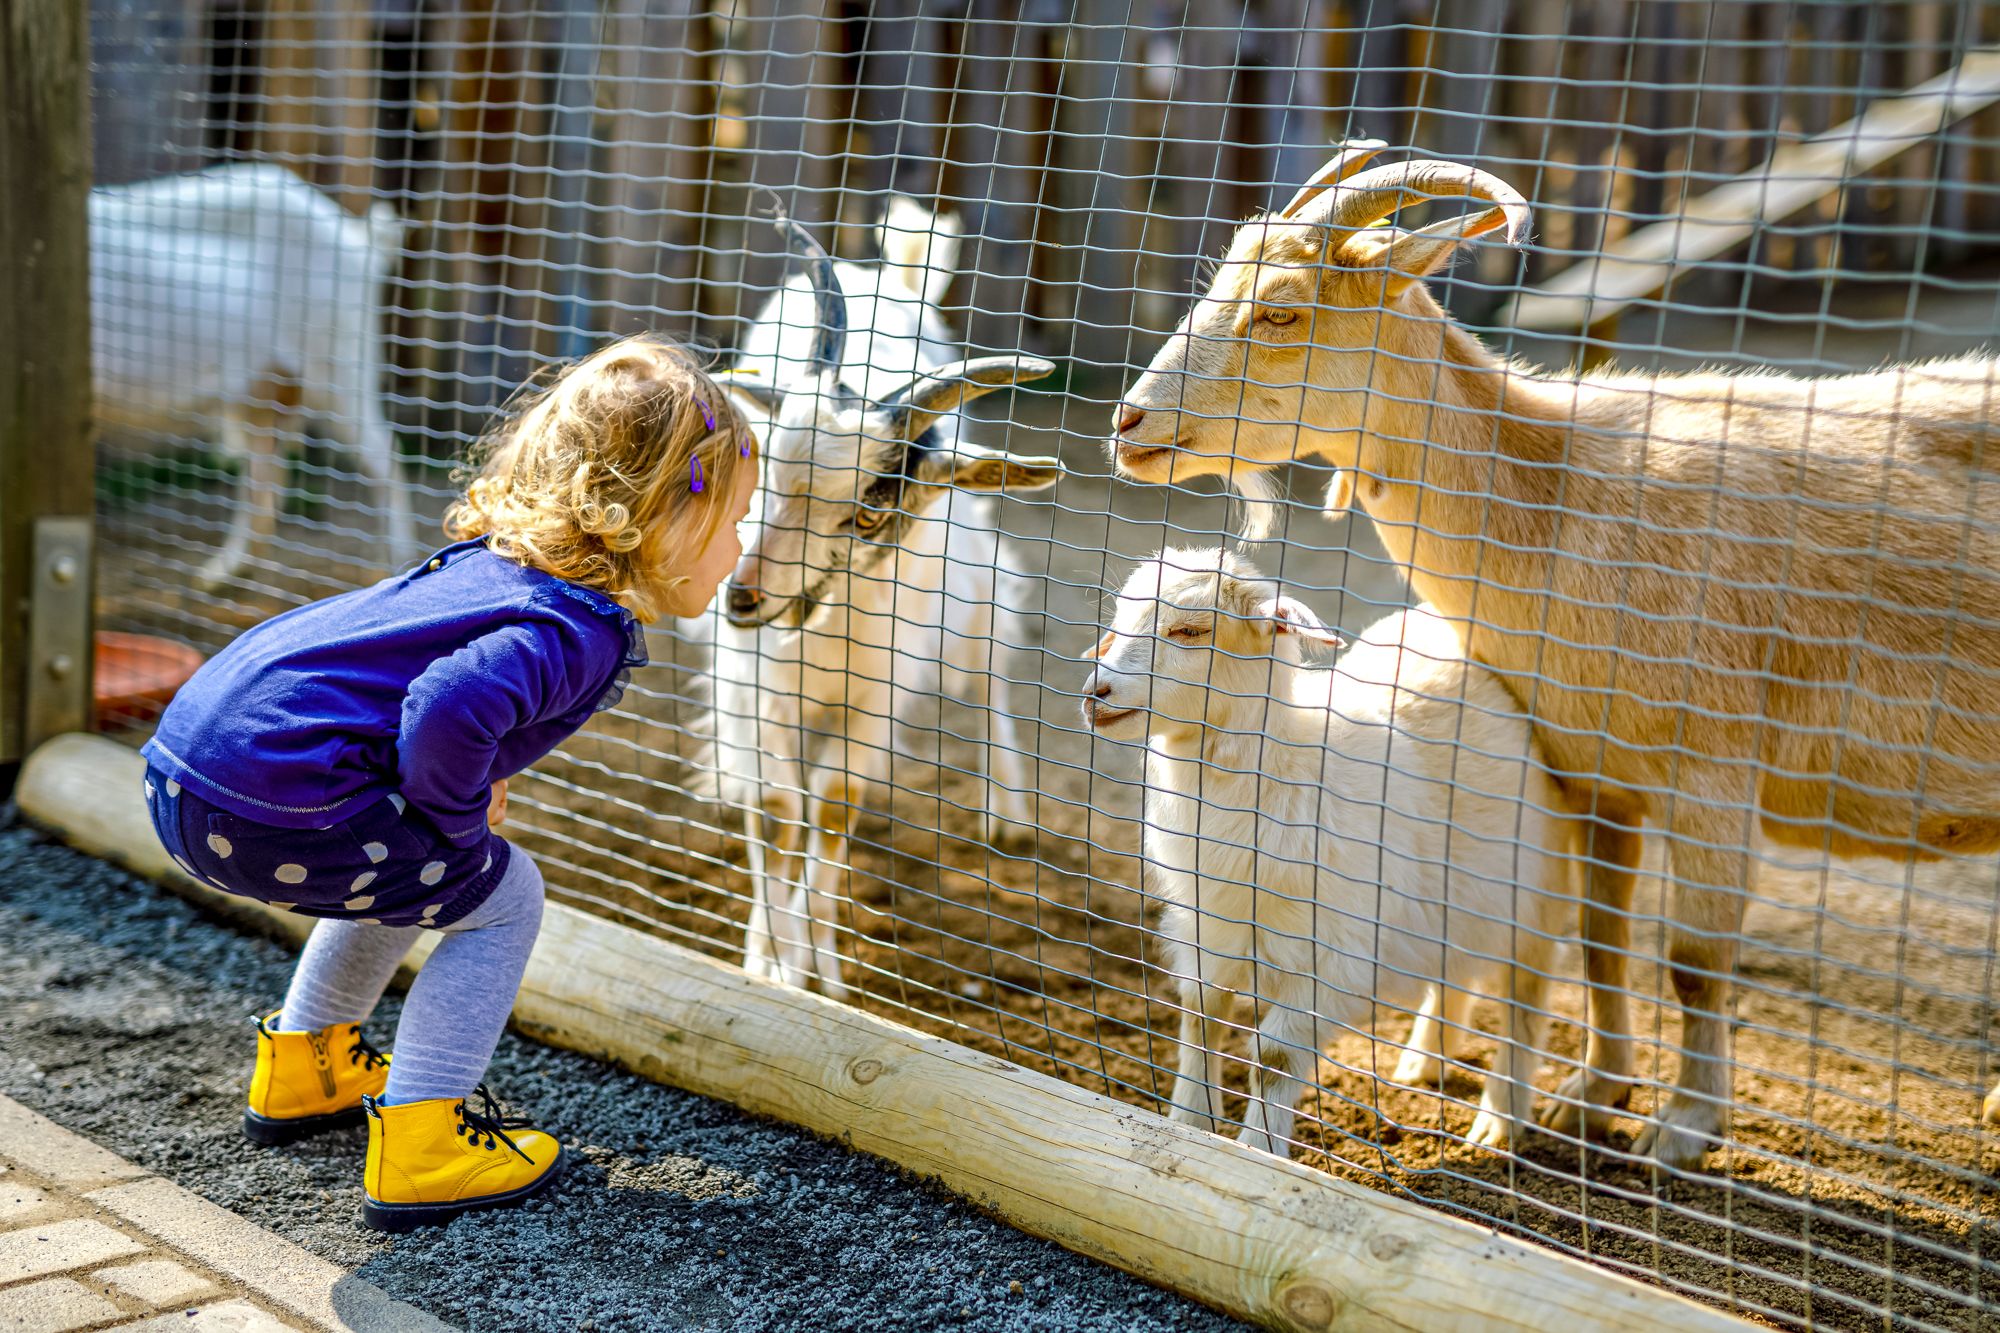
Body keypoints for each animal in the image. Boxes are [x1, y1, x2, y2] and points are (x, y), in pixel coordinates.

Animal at [92, 162, 408, 588]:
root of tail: (357, 241)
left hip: (338, 366)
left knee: (386, 459)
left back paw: (400, 566)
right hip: (261, 392)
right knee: (265, 481)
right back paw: (218, 575)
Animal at [716, 202, 1064, 996]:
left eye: (869, 512)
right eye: (765, 471)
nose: (743, 597)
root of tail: (889, 275)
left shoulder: (874, 698)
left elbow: (831, 810)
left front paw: (818, 971)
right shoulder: (755, 687)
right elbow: (776, 810)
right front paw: (766, 960)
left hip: (975, 598)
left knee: (989, 680)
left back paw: (1008, 813)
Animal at [1112, 140, 2000, 1168]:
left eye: (1282, 308)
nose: (1129, 425)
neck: (1567, 492)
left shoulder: (1713, 767)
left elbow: (1692, 962)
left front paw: (1680, 1130)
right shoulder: (1595, 770)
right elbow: (1601, 938)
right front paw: (1594, 1092)